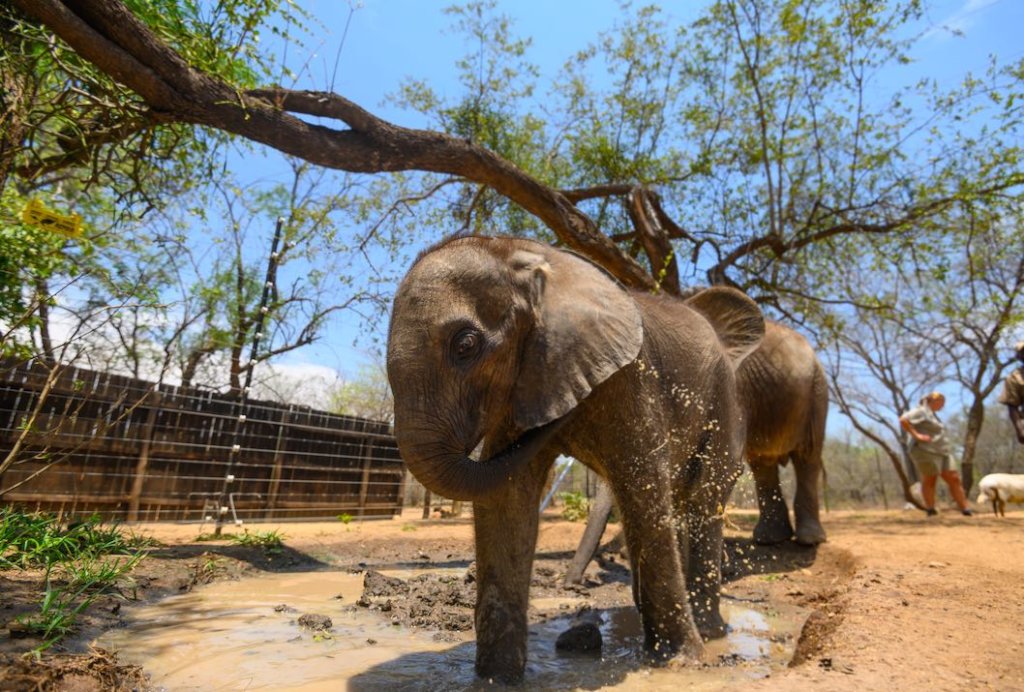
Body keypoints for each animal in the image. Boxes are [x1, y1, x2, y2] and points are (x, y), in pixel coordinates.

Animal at [386, 235, 765, 683]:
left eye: (465, 345)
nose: (560, 421)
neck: (530, 257)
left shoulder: (629, 377)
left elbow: (641, 485)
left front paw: (681, 663)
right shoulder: (527, 380)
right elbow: (508, 497)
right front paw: (496, 679)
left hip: (724, 404)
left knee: (702, 498)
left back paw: (708, 633)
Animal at [564, 317, 828, 585]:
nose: (574, 583)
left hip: (817, 391)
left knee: (807, 457)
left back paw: (808, 541)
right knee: (763, 464)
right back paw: (768, 540)